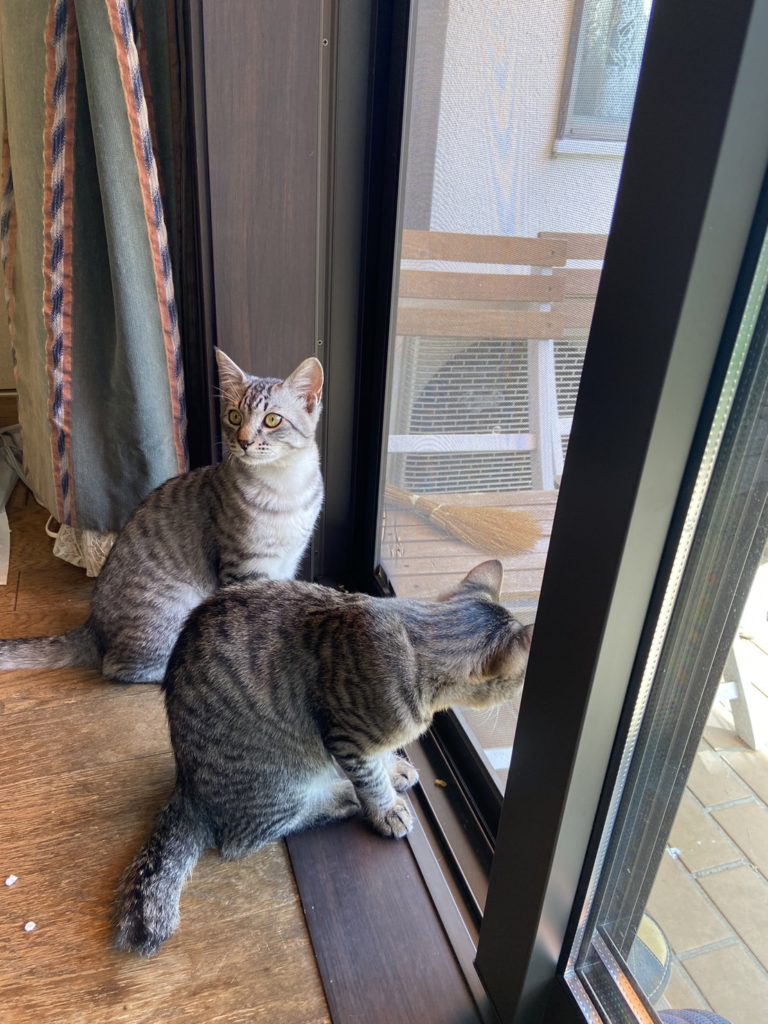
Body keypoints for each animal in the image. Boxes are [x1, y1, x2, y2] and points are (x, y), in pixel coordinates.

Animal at [0, 349, 324, 683]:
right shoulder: (243, 568)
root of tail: (93, 628)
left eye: (272, 420)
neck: (285, 488)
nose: (244, 441)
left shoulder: (288, 561)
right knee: (119, 667)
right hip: (173, 605)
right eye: (235, 417)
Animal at [113, 559, 533, 956]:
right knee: (253, 834)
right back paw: (342, 797)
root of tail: (187, 787)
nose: (517, 700)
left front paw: (393, 768)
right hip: (279, 780)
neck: (419, 641)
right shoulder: (348, 740)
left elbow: (381, 759)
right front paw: (386, 807)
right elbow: (371, 780)